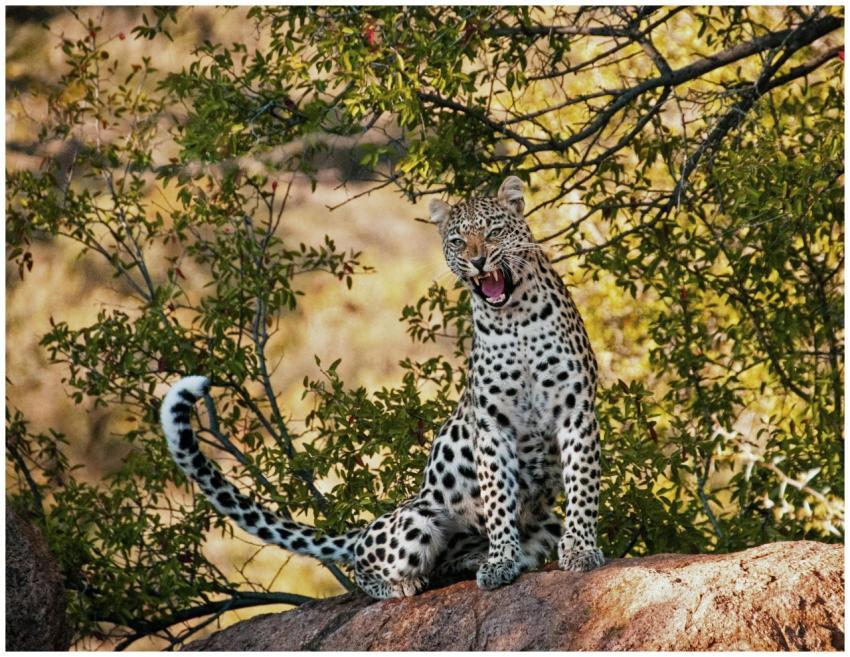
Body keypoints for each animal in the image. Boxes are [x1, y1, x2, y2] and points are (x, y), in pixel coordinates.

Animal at [161, 175, 605, 599]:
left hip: (544, 520)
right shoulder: (493, 424)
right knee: (365, 568)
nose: (477, 261)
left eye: (494, 232)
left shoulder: (576, 408)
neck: (515, 318)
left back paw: (474, 561)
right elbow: (498, 498)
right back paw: (408, 583)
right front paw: (500, 561)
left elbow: (582, 485)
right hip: (415, 521)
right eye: (458, 241)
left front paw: (581, 548)